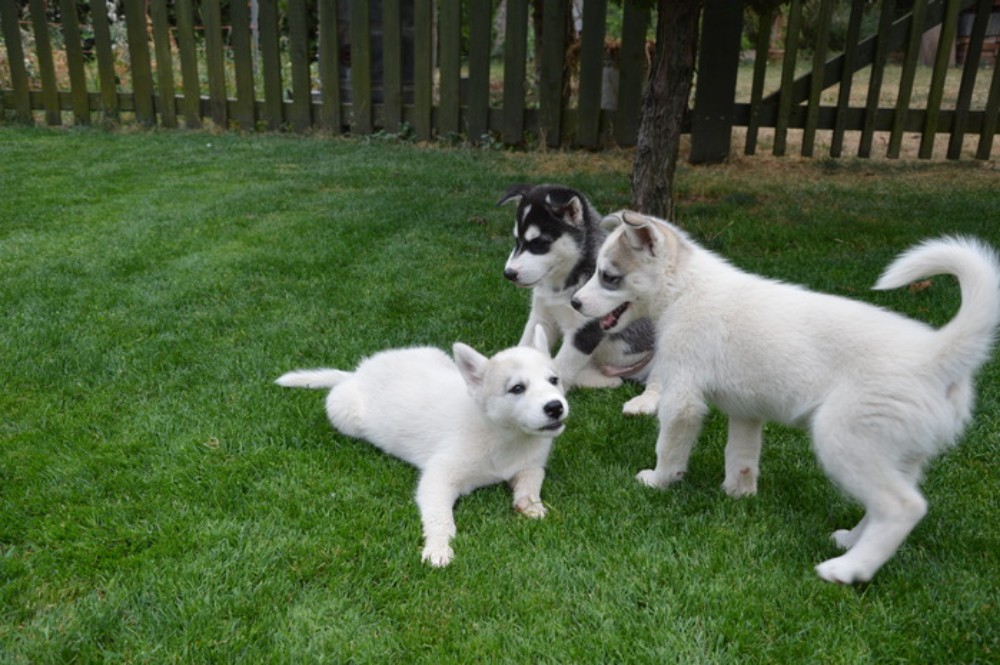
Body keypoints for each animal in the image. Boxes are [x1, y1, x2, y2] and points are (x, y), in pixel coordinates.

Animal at [275, 326, 568, 567]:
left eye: (554, 380)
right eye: (517, 388)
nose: (556, 407)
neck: (505, 436)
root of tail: (358, 372)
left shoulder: (531, 465)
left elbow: (531, 482)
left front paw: (531, 506)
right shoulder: (438, 477)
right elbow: (441, 519)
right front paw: (438, 548)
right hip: (344, 413)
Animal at [498, 183, 660, 415]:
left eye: (540, 243)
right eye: (516, 240)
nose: (509, 274)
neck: (562, 284)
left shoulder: (586, 328)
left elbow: (563, 365)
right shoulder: (542, 315)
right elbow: (528, 348)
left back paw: (643, 402)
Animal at [571, 210, 1000, 584]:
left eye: (609, 277)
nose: (574, 302)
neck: (685, 291)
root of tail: (936, 354)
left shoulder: (682, 397)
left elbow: (670, 448)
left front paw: (659, 481)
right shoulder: (745, 411)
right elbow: (741, 456)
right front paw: (738, 495)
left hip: (843, 439)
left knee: (903, 507)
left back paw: (848, 569)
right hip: (897, 454)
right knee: (885, 503)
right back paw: (849, 541)